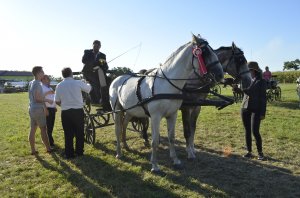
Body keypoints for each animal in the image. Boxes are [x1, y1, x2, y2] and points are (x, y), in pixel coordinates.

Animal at [109, 34, 224, 174]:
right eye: (205, 52)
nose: (221, 74)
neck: (167, 84)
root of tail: (116, 79)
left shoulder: (173, 115)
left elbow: (171, 137)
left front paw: (176, 160)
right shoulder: (156, 116)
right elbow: (154, 141)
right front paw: (155, 165)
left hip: (130, 111)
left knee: (124, 125)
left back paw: (125, 146)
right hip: (116, 110)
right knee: (117, 129)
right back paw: (119, 153)